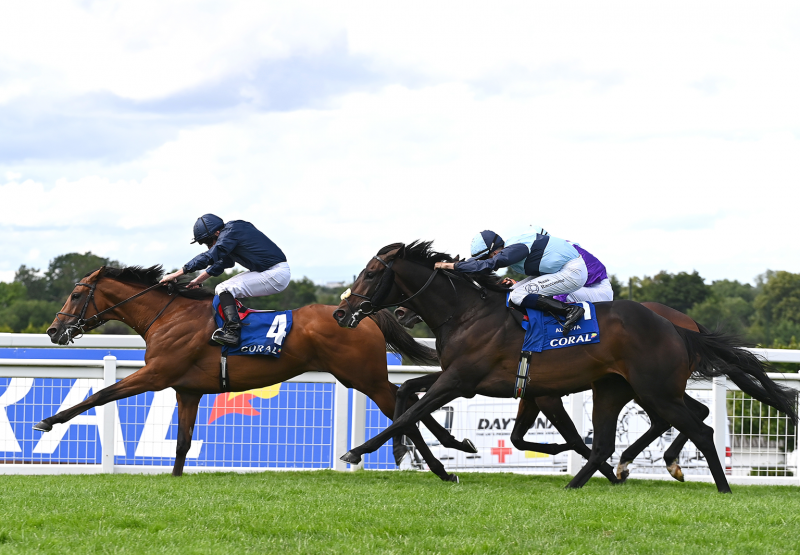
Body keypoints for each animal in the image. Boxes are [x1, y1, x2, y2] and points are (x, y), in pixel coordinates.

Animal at [37, 268, 476, 480]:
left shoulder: (156, 375)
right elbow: (182, 443)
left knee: (406, 407)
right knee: (413, 399)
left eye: (76, 294)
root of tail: (361, 316)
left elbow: (99, 395)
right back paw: (456, 443)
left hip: (363, 377)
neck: (168, 315)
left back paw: (439, 467)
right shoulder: (186, 390)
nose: (54, 330)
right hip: (362, 377)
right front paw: (175, 479)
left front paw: (49, 421)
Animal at [390, 304, 708, 482]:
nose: (400, 312)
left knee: (686, 415)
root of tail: (687, 325)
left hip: (650, 386)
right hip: (651, 388)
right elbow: (518, 438)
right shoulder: (525, 391)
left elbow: (572, 438)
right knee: (689, 414)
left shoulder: (545, 395)